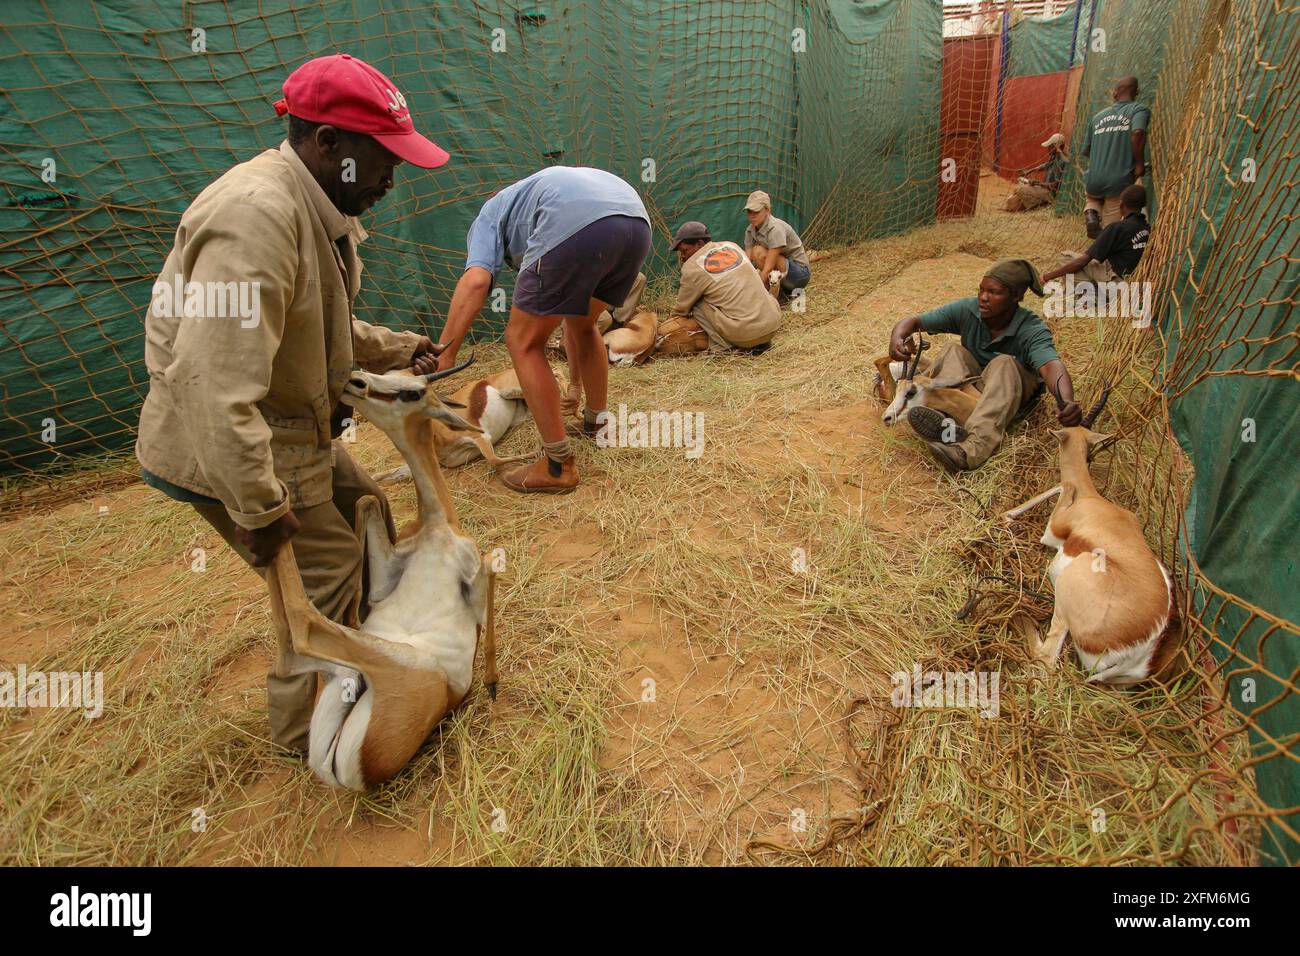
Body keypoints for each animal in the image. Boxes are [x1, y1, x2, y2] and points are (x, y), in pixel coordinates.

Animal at [266, 358, 499, 790]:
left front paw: (491, 683)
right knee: (297, 643)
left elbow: (492, 561)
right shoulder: (392, 567)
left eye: (412, 391)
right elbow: (366, 501)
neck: (439, 526)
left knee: (301, 633)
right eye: (392, 372)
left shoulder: (472, 571)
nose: (355, 381)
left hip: (389, 662)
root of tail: (344, 773)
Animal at [998, 390, 1185, 686]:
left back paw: (1019, 615)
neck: (1093, 499)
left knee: (1046, 661)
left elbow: (1064, 485)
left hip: (1065, 589)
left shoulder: (1053, 531)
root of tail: (1140, 655)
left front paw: (1008, 516)